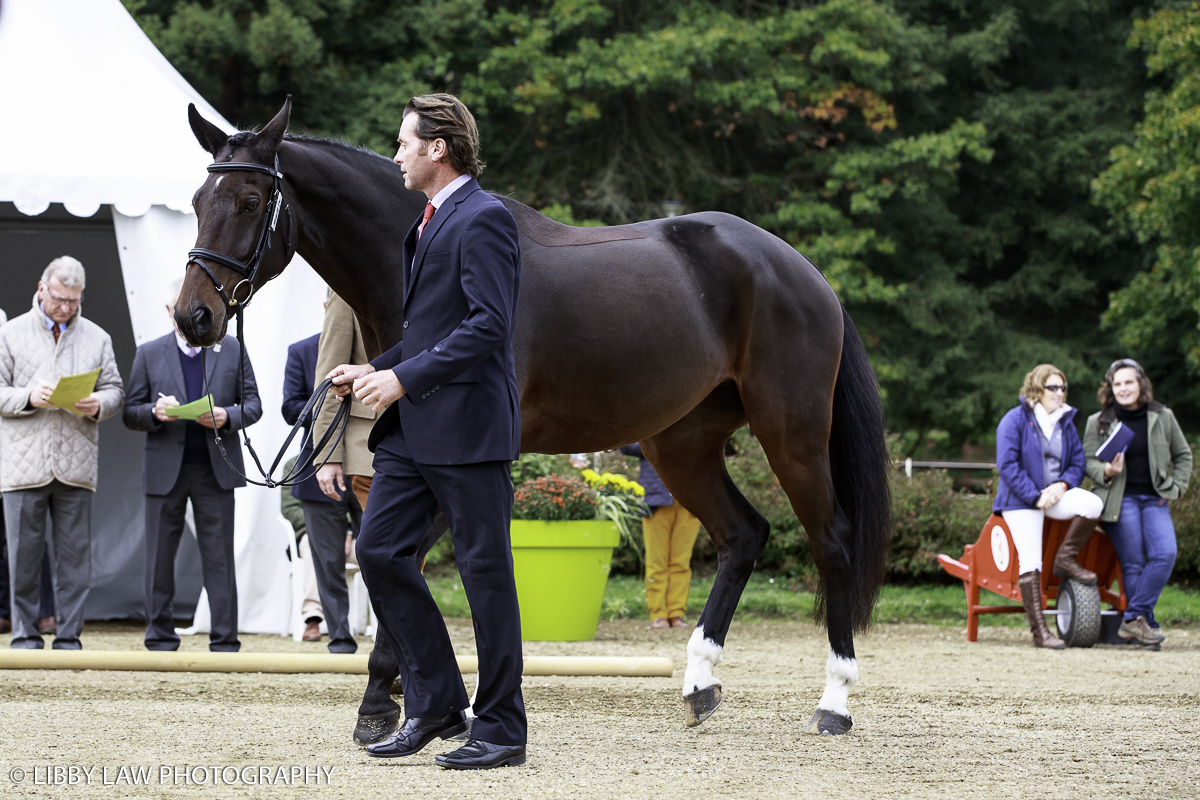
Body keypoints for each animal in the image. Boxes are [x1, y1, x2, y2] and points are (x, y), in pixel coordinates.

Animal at [177, 101, 892, 743]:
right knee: (743, 535)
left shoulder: (463, 459)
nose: (192, 317)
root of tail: (803, 273)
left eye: (249, 201)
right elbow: (394, 566)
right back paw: (699, 683)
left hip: (792, 434)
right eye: (197, 199)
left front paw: (389, 701)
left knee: (832, 541)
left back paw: (834, 701)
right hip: (682, 444)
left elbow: (411, 566)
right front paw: (407, 700)